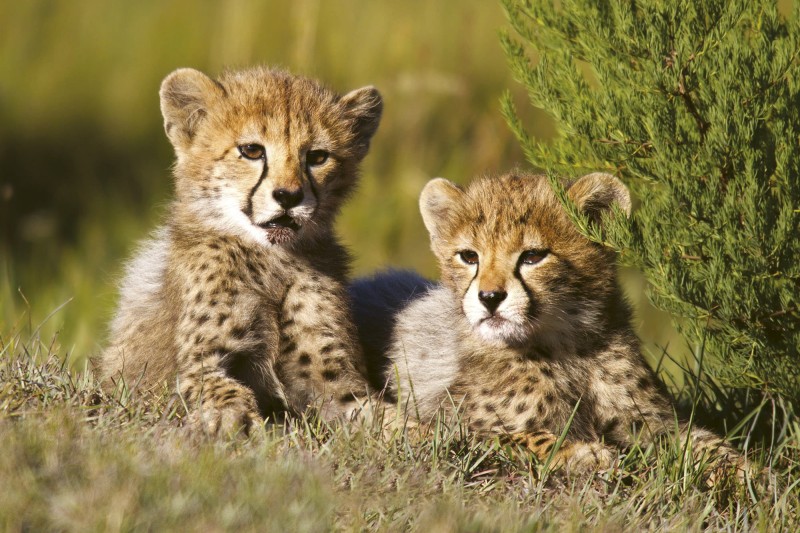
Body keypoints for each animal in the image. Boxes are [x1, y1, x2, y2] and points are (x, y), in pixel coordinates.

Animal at [98, 66, 384, 434]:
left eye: (317, 157)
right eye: (251, 151)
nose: (289, 196)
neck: (272, 259)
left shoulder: (334, 383)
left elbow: (385, 415)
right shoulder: (200, 365)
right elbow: (222, 390)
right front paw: (231, 420)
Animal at [350, 171, 747, 483]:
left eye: (532, 256)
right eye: (469, 257)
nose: (489, 297)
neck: (566, 347)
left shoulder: (650, 423)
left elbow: (702, 441)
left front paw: (745, 473)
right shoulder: (452, 427)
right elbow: (523, 436)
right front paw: (579, 453)